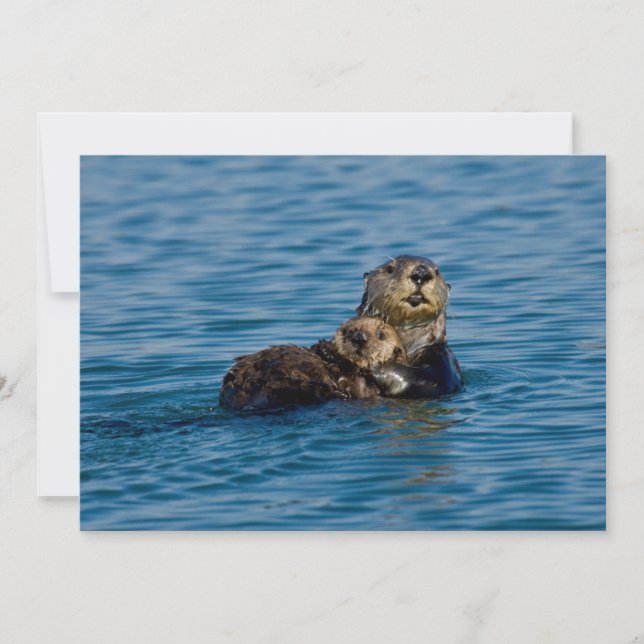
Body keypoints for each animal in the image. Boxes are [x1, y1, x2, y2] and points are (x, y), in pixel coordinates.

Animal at [219, 317, 407, 412]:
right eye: (348, 331)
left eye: (381, 335)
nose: (359, 337)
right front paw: (324, 348)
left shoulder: (366, 387)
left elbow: (355, 385)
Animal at [357, 255, 463, 398]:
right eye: (390, 269)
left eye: (437, 272)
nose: (421, 273)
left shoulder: (443, 361)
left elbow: (428, 380)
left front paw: (375, 367)